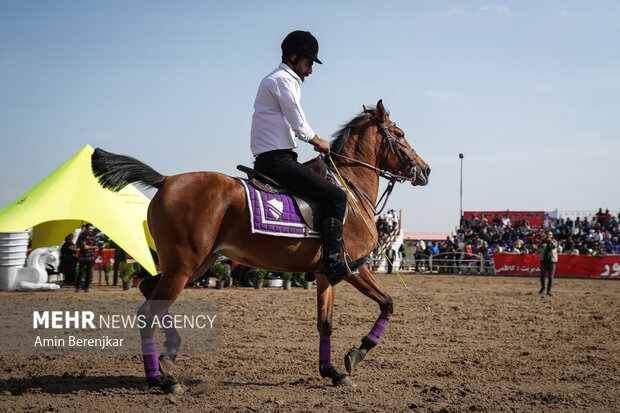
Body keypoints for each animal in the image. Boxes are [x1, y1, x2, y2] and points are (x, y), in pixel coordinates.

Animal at [92, 98, 432, 392]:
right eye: (400, 134)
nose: (426, 169)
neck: (349, 190)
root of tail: (166, 179)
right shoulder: (354, 268)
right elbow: (388, 302)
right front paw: (358, 353)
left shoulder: (326, 274)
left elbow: (325, 323)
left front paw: (332, 372)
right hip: (183, 267)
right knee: (148, 312)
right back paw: (161, 380)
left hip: (192, 265)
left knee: (148, 292)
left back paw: (168, 356)